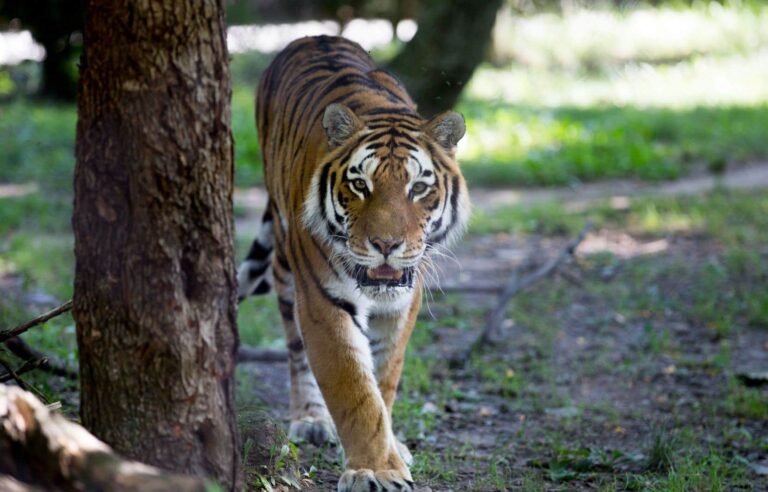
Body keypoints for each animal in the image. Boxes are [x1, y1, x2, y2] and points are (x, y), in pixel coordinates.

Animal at [238, 35, 468, 492]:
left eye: (418, 187)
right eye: (360, 184)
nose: (386, 244)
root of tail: (314, 36)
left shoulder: (403, 303)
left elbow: (384, 380)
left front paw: (392, 448)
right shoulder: (324, 300)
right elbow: (355, 390)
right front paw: (375, 471)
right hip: (287, 267)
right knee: (295, 347)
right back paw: (310, 419)